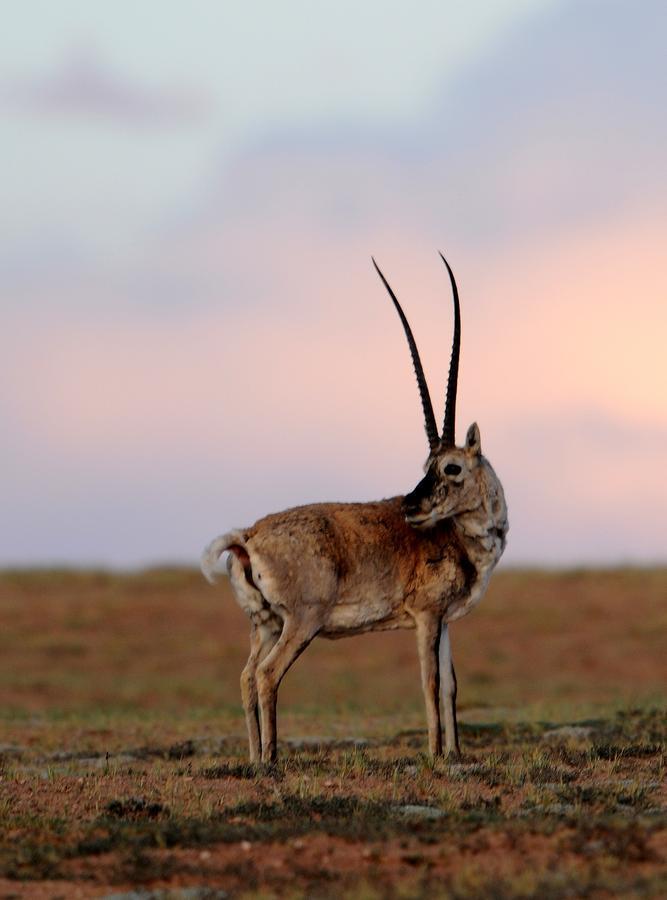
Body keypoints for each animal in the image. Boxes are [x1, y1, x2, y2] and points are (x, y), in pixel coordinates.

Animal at [201, 251, 508, 760]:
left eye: (449, 467)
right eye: (432, 465)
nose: (411, 506)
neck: (461, 539)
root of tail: (248, 536)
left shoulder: (446, 622)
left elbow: (451, 686)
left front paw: (457, 755)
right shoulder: (425, 617)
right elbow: (428, 684)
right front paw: (434, 755)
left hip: (265, 624)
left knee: (246, 677)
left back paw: (253, 758)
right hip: (300, 622)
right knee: (267, 675)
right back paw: (272, 760)